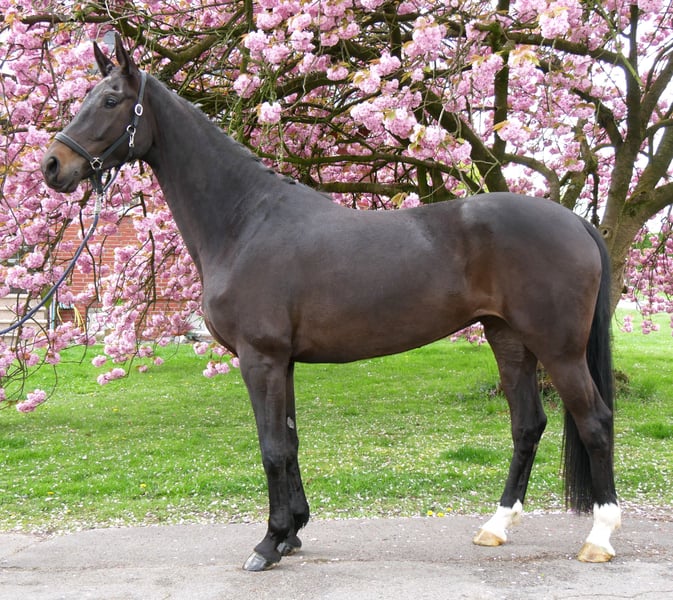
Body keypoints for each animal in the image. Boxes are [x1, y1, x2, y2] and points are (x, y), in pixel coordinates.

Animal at [41, 36, 620, 571]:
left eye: (111, 100)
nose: (52, 165)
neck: (245, 221)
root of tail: (576, 222)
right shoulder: (284, 363)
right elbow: (290, 442)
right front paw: (293, 532)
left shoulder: (260, 358)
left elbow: (272, 448)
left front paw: (269, 543)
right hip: (508, 338)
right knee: (527, 424)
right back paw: (496, 526)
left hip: (559, 349)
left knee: (594, 420)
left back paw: (599, 538)